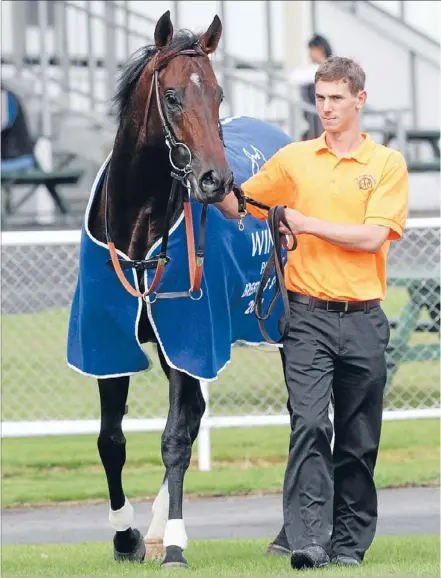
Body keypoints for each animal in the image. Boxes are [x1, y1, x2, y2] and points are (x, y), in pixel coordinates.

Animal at [67, 7, 294, 568]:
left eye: (217, 94)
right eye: (171, 95)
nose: (216, 180)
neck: (137, 233)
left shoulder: (189, 334)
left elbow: (173, 439)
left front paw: (173, 543)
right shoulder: (111, 340)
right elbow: (111, 441)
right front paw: (126, 537)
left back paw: (286, 534)